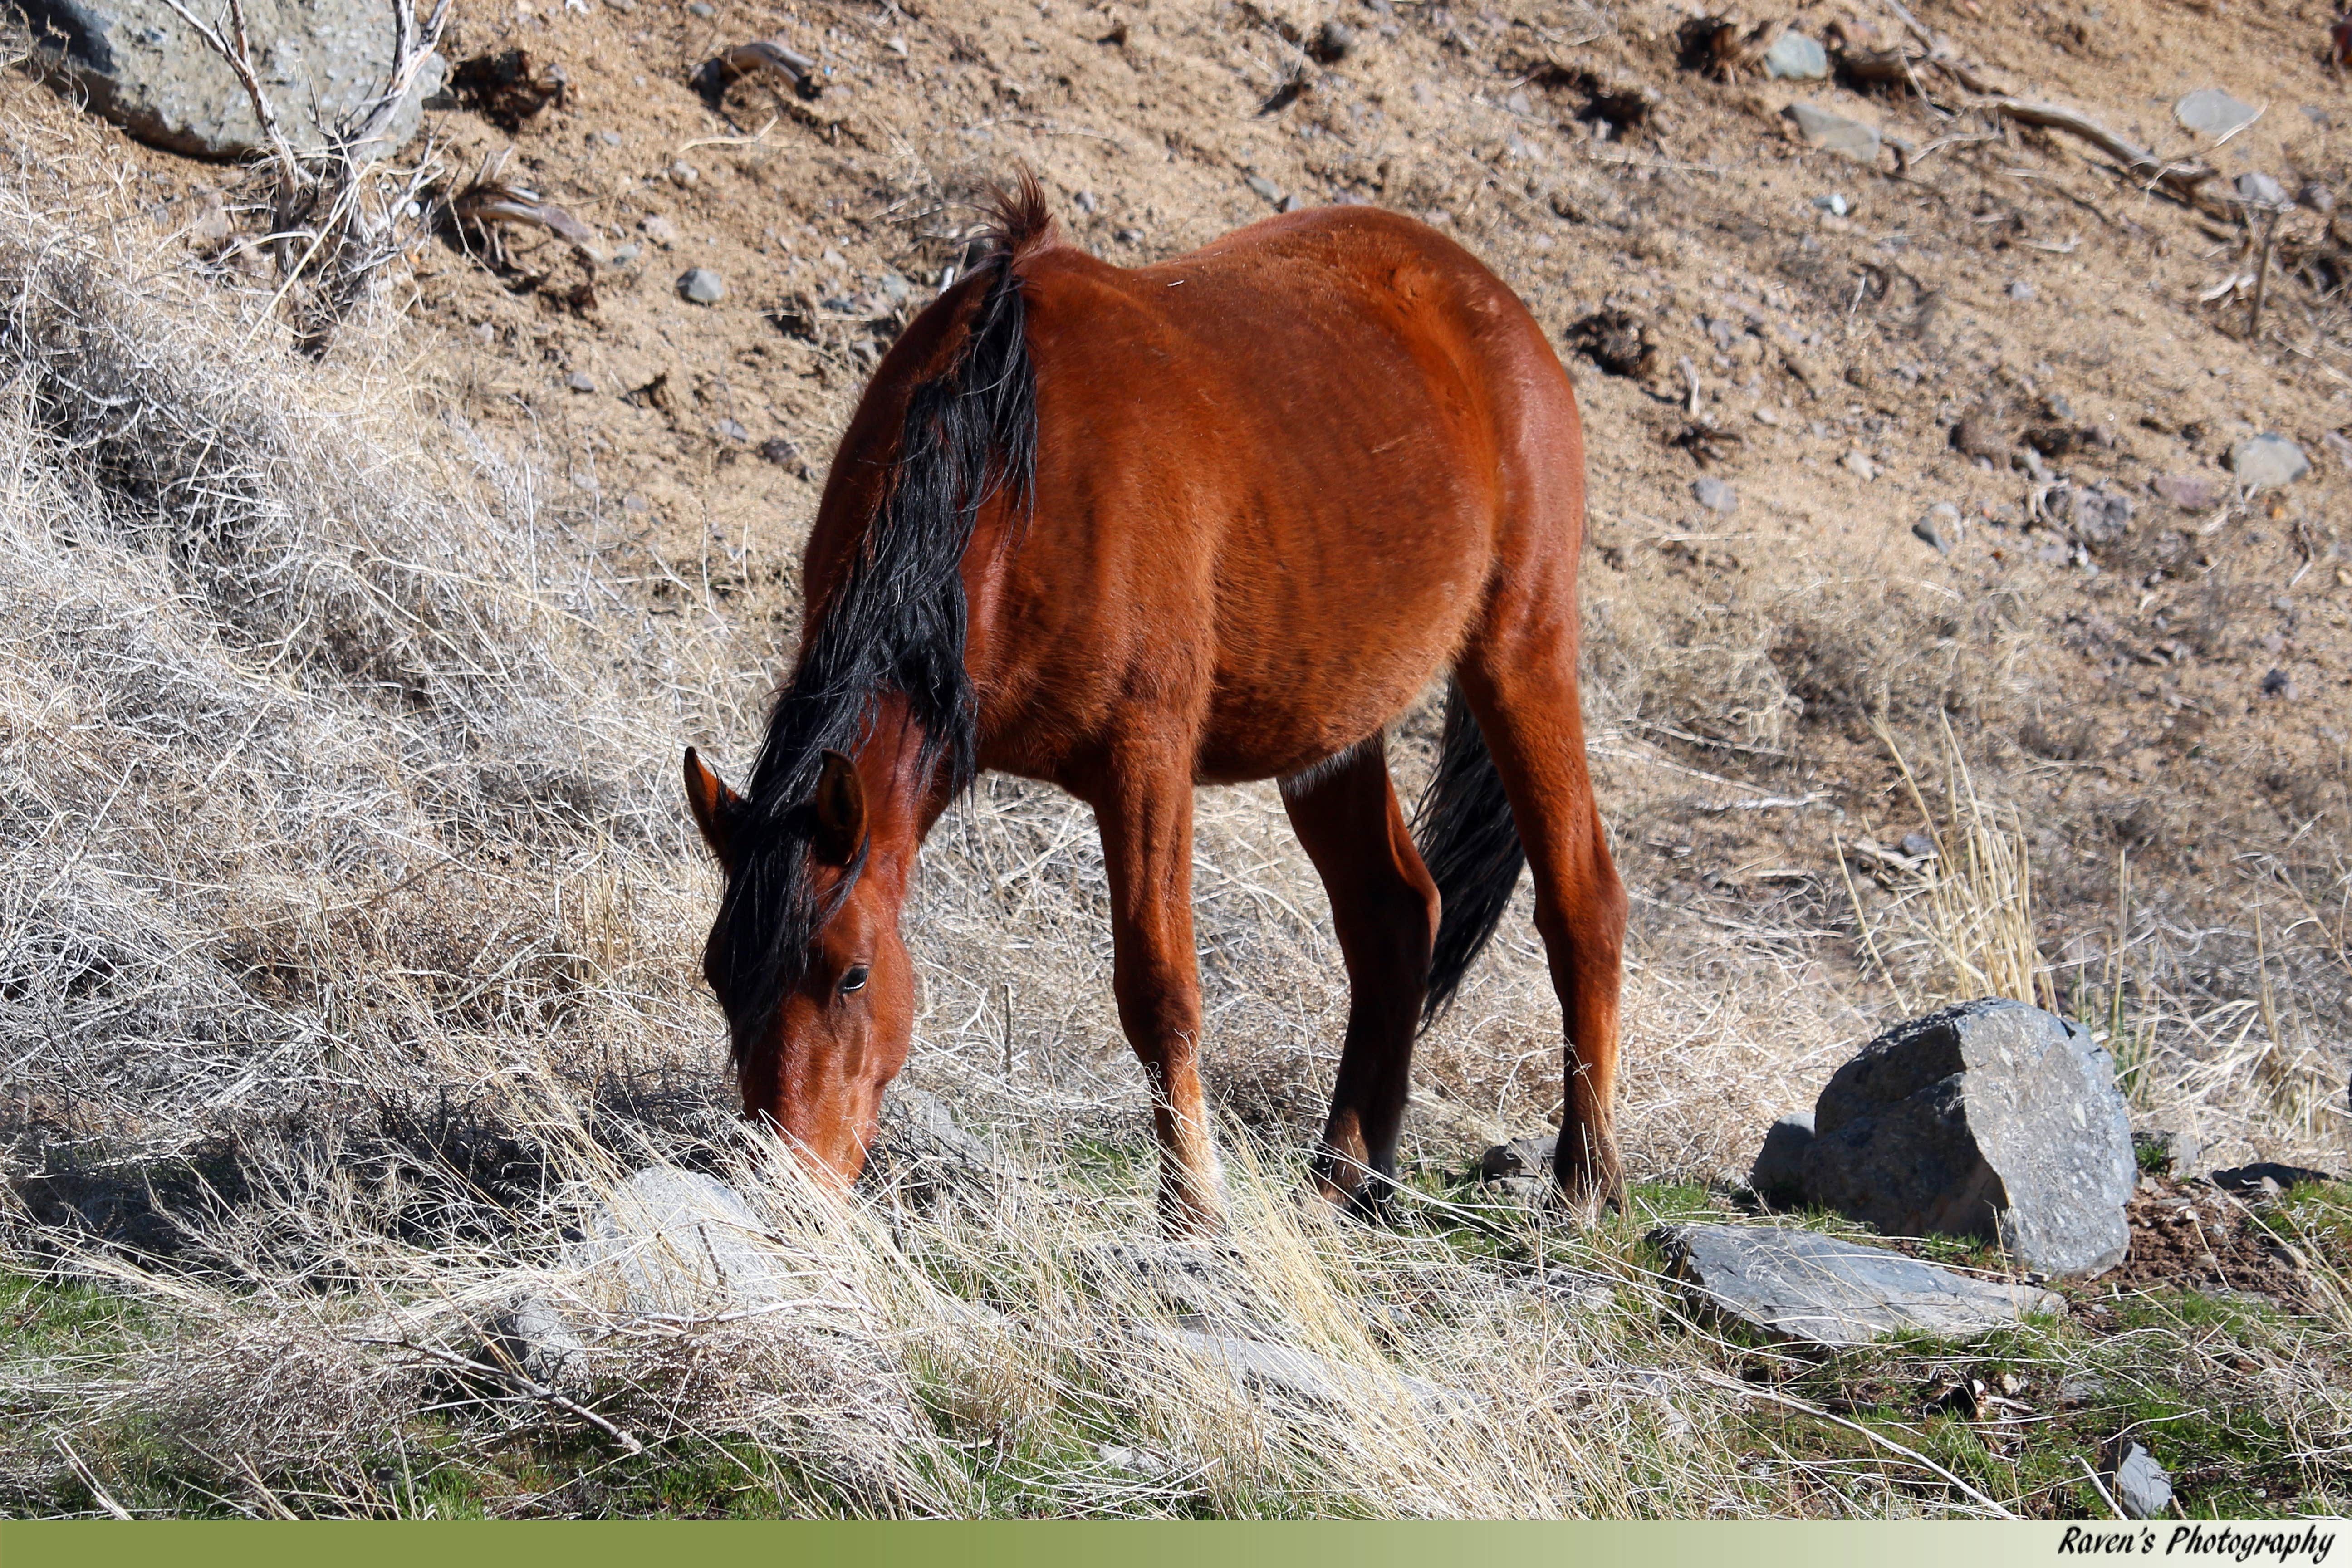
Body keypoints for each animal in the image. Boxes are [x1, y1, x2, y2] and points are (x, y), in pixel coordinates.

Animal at [682, 178, 1627, 1233]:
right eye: (721, 976)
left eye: (849, 971)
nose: (783, 1193)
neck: (1010, 460)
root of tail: (1488, 300)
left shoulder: (1145, 763)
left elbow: (1159, 989)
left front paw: (1193, 1209)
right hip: (1331, 732)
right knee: (1393, 915)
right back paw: (1344, 1177)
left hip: (1519, 654)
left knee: (1582, 902)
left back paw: (1584, 1181)